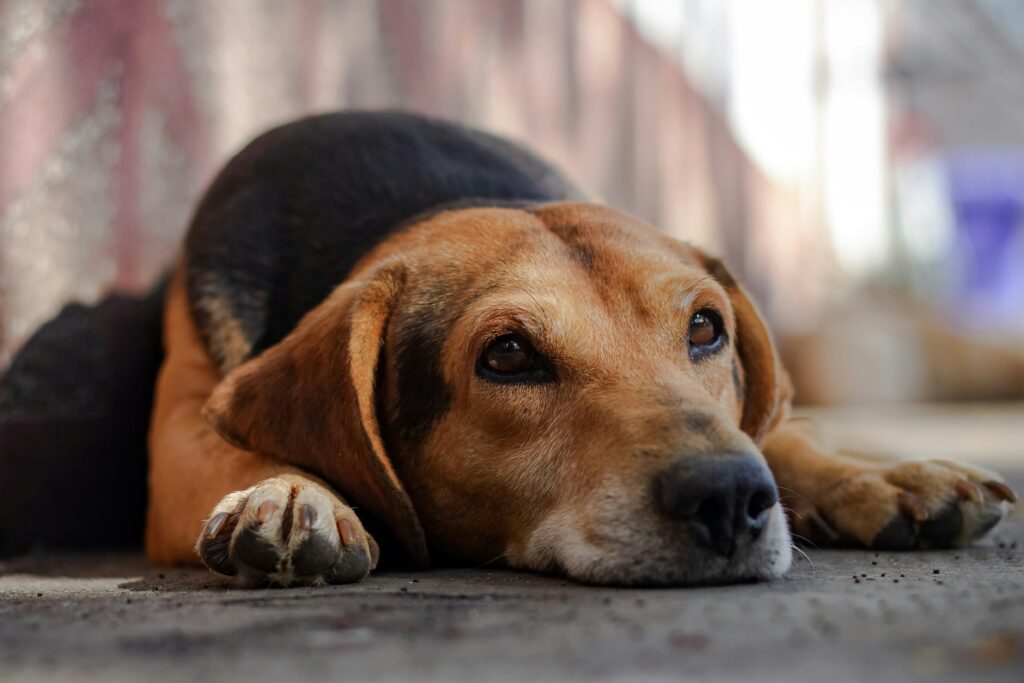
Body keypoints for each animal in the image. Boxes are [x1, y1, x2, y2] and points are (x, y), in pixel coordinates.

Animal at [144, 112, 1015, 589]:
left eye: (706, 327)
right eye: (506, 355)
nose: (731, 495)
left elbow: (786, 437)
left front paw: (876, 475)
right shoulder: (183, 428)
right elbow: (229, 450)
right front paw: (290, 490)